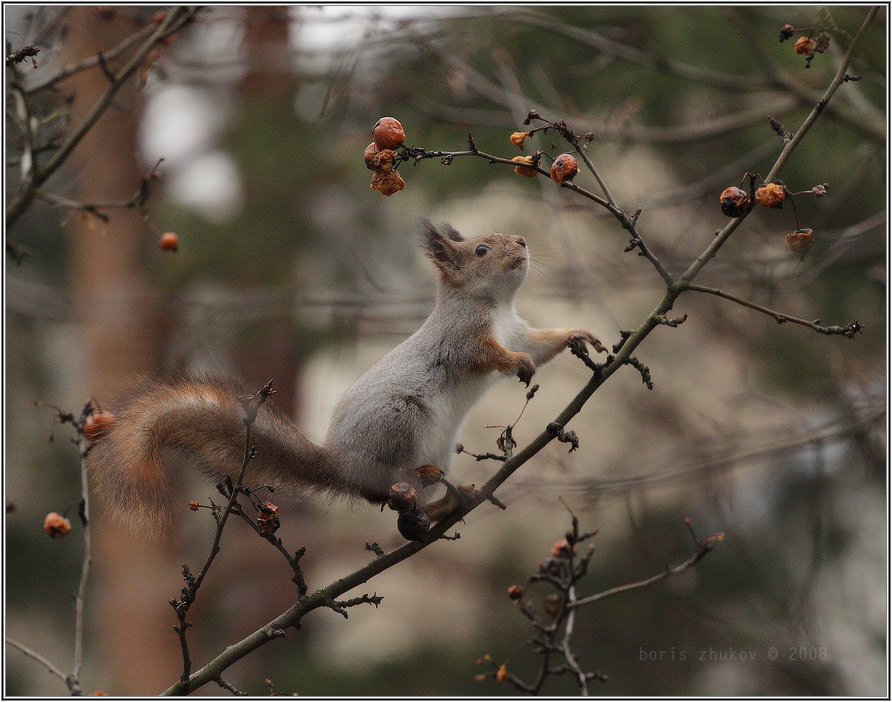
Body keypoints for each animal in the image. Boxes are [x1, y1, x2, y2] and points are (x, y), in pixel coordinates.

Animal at [86, 219, 603, 527]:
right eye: (480, 250)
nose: (522, 242)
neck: (495, 307)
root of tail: (341, 465)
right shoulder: (463, 339)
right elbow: (486, 357)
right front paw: (517, 365)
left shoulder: (517, 330)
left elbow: (543, 343)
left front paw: (579, 336)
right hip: (400, 419)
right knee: (384, 488)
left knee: (398, 498)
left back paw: (451, 500)